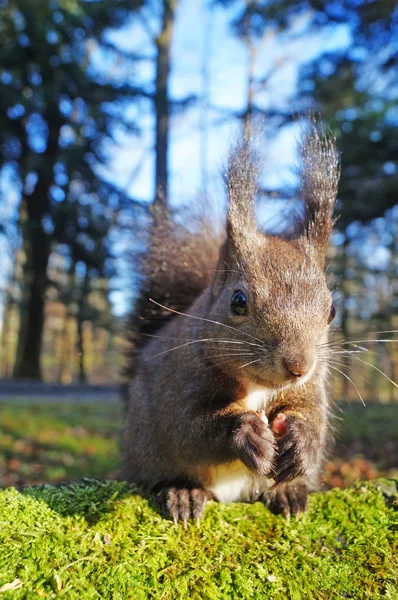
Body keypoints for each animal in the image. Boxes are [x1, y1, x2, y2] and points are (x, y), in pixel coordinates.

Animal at [121, 123, 338, 524]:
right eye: (239, 302)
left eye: (331, 310)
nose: (298, 366)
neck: (258, 386)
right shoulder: (181, 382)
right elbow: (189, 430)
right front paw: (246, 432)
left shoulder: (311, 389)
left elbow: (313, 416)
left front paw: (302, 439)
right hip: (145, 444)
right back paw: (183, 492)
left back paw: (288, 491)